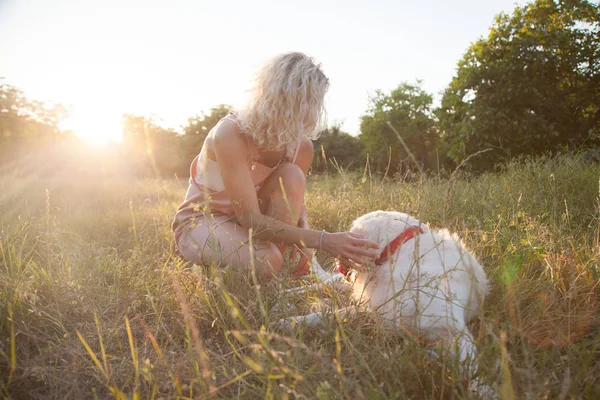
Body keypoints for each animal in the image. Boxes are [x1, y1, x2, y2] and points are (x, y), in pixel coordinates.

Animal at [284, 211, 494, 398]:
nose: (337, 261)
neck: (401, 249)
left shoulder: (450, 330)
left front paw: (483, 390)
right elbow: (324, 314)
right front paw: (288, 321)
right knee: (322, 284)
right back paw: (283, 295)